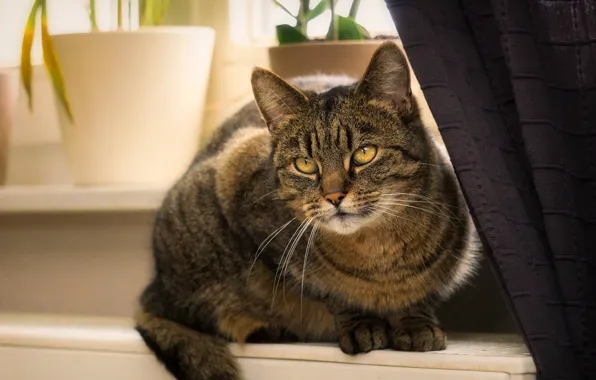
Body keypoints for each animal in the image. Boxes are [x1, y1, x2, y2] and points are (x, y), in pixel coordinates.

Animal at [135, 41, 480, 380]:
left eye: (364, 153)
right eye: (304, 164)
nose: (334, 196)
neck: (378, 253)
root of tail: (154, 289)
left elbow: (419, 295)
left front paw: (414, 321)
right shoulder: (241, 185)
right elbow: (329, 292)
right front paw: (362, 322)